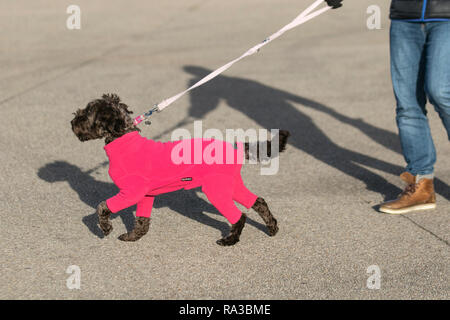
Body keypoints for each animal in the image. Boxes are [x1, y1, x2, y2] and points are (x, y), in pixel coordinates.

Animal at [70, 94, 288, 246]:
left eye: (87, 113)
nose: (72, 122)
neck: (123, 141)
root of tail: (234, 149)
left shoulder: (131, 193)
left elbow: (102, 206)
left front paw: (105, 227)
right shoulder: (145, 195)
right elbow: (142, 220)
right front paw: (134, 237)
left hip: (215, 189)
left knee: (239, 215)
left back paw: (230, 240)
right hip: (229, 184)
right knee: (257, 202)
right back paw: (272, 228)